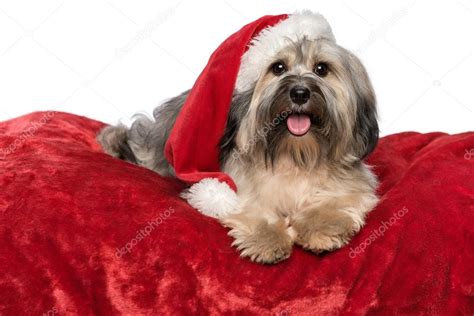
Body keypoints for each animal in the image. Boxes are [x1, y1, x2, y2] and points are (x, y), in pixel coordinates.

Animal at [98, 11, 380, 264]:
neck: (295, 153)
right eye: (278, 67)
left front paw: (321, 230)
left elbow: (334, 203)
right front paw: (268, 241)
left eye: (321, 69)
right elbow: (257, 211)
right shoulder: (238, 190)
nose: (299, 92)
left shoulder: (352, 188)